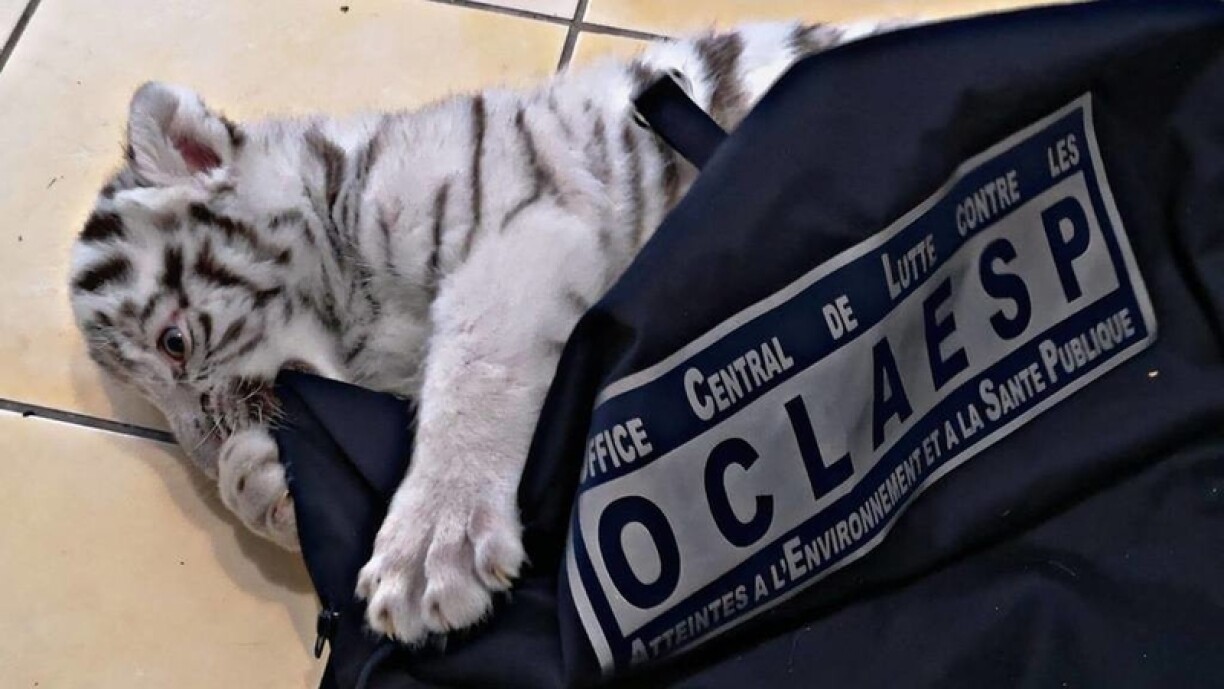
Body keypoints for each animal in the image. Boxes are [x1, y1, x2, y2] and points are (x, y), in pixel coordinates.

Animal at [67, 19, 903, 645]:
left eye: (175, 342)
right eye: (154, 406)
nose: (205, 454)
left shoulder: (520, 228)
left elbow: (476, 371)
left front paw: (433, 550)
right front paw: (260, 481)